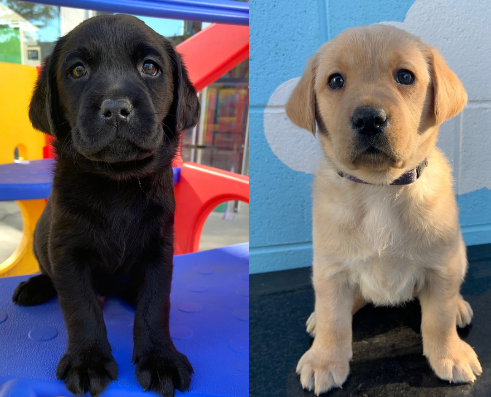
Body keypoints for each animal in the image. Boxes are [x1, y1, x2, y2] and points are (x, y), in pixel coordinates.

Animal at [10, 13, 199, 394]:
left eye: (150, 67)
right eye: (78, 70)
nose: (115, 109)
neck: (117, 184)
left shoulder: (160, 249)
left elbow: (156, 304)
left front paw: (160, 358)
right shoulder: (66, 251)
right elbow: (80, 308)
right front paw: (88, 361)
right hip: (41, 239)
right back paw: (35, 286)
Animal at [286, 24, 482, 392]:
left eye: (405, 76)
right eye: (335, 80)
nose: (369, 119)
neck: (379, 190)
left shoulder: (441, 266)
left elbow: (439, 318)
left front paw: (450, 354)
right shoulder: (331, 271)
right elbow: (334, 319)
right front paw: (324, 360)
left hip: (458, 255)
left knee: (451, 298)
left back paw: (460, 307)